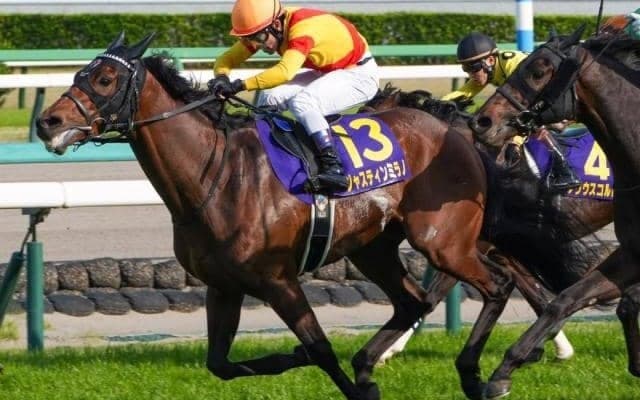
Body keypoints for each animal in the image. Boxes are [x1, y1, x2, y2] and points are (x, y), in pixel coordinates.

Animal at [34, 32, 519, 400]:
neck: (215, 175)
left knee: (497, 285)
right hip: (373, 248)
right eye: (79, 74)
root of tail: (457, 129)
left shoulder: (279, 280)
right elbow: (220, 364)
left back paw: (476, 375)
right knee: (414, 301)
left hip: (441, 240)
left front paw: (336, 374)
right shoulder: (223, 286)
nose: (46, 122)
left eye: (105, 78)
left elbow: (321, 349)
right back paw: (369, 364)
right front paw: (316, 365)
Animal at [364, 85, 617, 397]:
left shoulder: (468, 245)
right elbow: (531, 289)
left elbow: (434, 294)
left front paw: (389, 350)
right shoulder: (500, 245)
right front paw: (553, 348)